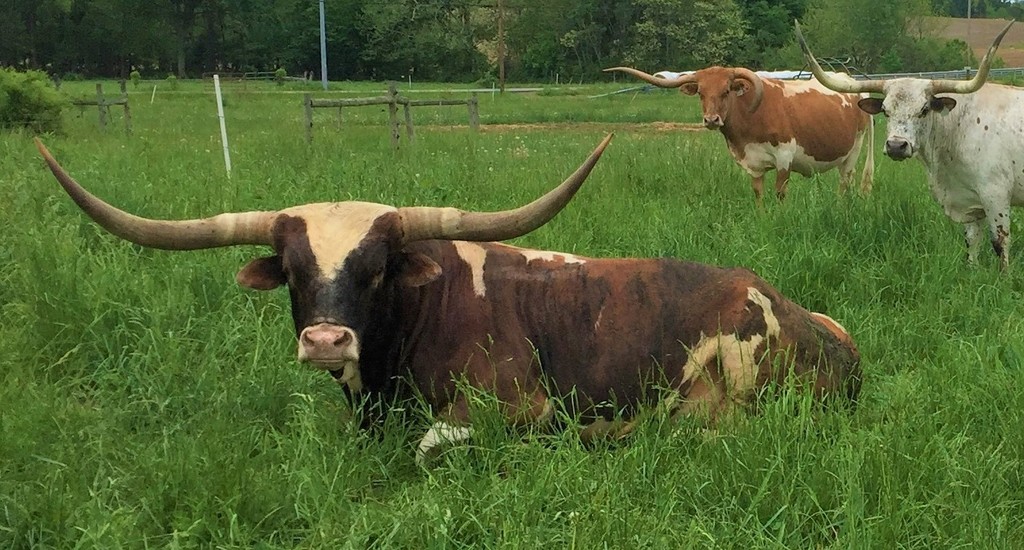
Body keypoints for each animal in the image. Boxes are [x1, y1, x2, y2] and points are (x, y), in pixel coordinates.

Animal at [604, 65, 874, 205]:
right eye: (701, 93)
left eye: (726, 91)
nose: (711, 120)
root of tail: (853, 85)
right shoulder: (752, 164)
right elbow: (758, 195)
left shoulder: (784, 157)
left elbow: (780, 193)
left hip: (853, 152)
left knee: (845, 183)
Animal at [796, 20, 1019, 270]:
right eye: (885, 110)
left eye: (924, 109)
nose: (895, 146)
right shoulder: (970, 201)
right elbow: (971, 241)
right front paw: (972, 270)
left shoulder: (996, 195)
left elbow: (1000, 243)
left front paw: (1003, 276)